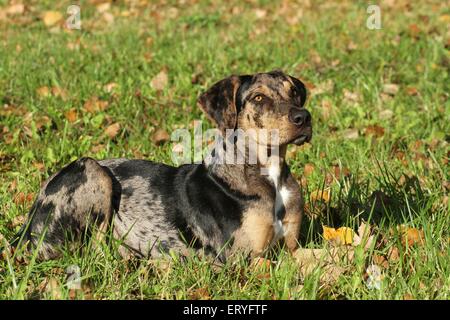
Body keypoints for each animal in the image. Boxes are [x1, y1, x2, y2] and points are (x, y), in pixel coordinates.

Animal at [12, 70, 312, 262]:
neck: (271, 175)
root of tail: (25, 228)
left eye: (295, 92)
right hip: (93, 170)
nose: (304, 117)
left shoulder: (292, 246)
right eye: (259, 98)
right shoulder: (246, 258)